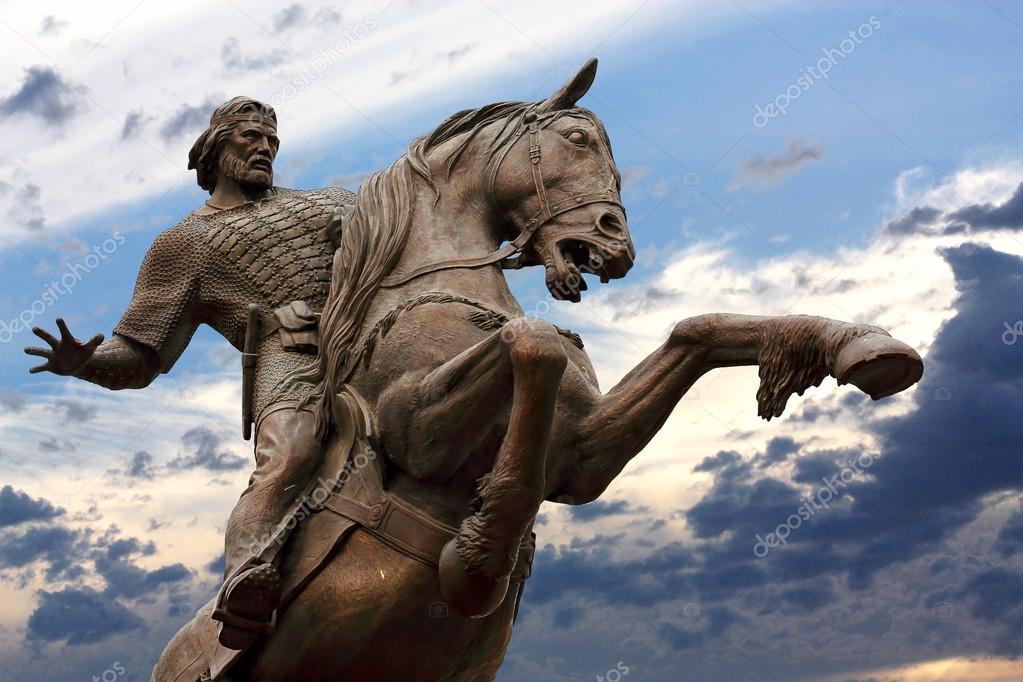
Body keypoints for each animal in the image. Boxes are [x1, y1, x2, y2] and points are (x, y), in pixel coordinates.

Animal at [153, 61, 928, 678]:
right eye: (577, 139)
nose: (615, 244)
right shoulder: (413, 433)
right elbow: (534, 344)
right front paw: (477, 556)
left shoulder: (582, 456)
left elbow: (697, 331)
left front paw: (858, 348)